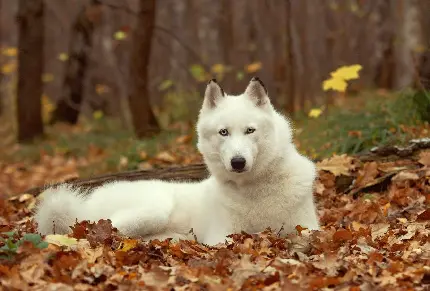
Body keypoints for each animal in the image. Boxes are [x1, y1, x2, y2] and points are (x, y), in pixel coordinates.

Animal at [34, 78, 320, 246]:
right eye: (223, 132)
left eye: (250, 131)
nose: (237, 162)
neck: (255, 191)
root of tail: (84, 203)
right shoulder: (221, 236)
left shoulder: (307, 226)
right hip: (154, 209)